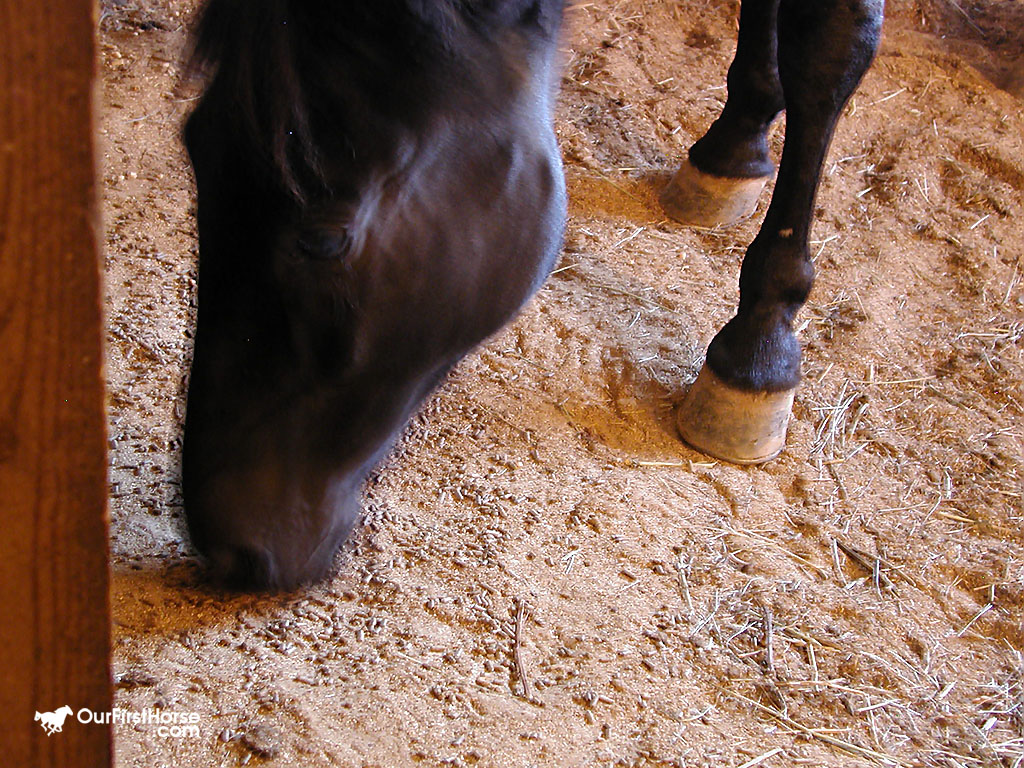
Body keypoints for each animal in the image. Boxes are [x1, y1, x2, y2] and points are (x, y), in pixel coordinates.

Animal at [180, 0, 884, 590]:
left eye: (323, 239)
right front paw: (738, 140)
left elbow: (829, 50)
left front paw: (759, 348)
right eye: (196, 150)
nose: (227, 551)